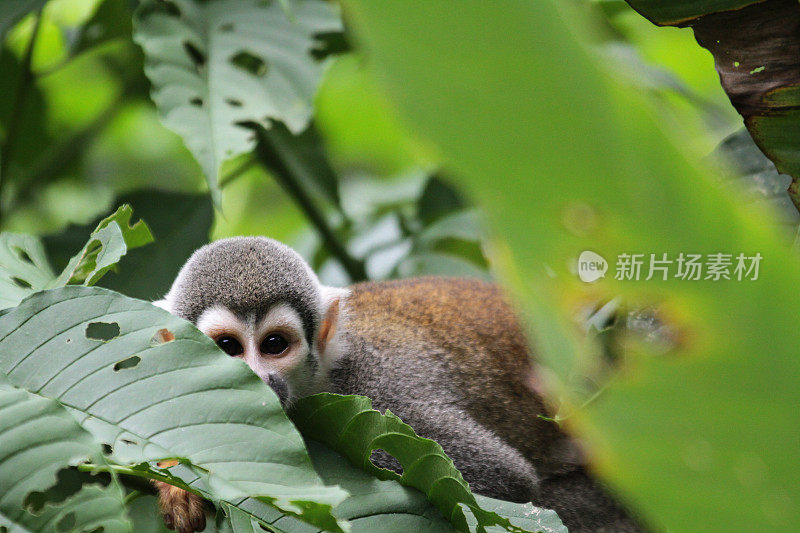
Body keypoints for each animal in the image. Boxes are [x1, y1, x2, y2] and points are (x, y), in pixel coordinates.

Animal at [155, 237, 644, 532]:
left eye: (274, 345)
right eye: (227, 348)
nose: (259, 380)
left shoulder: (377, 387)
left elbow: (504, 479)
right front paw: (176, 480)